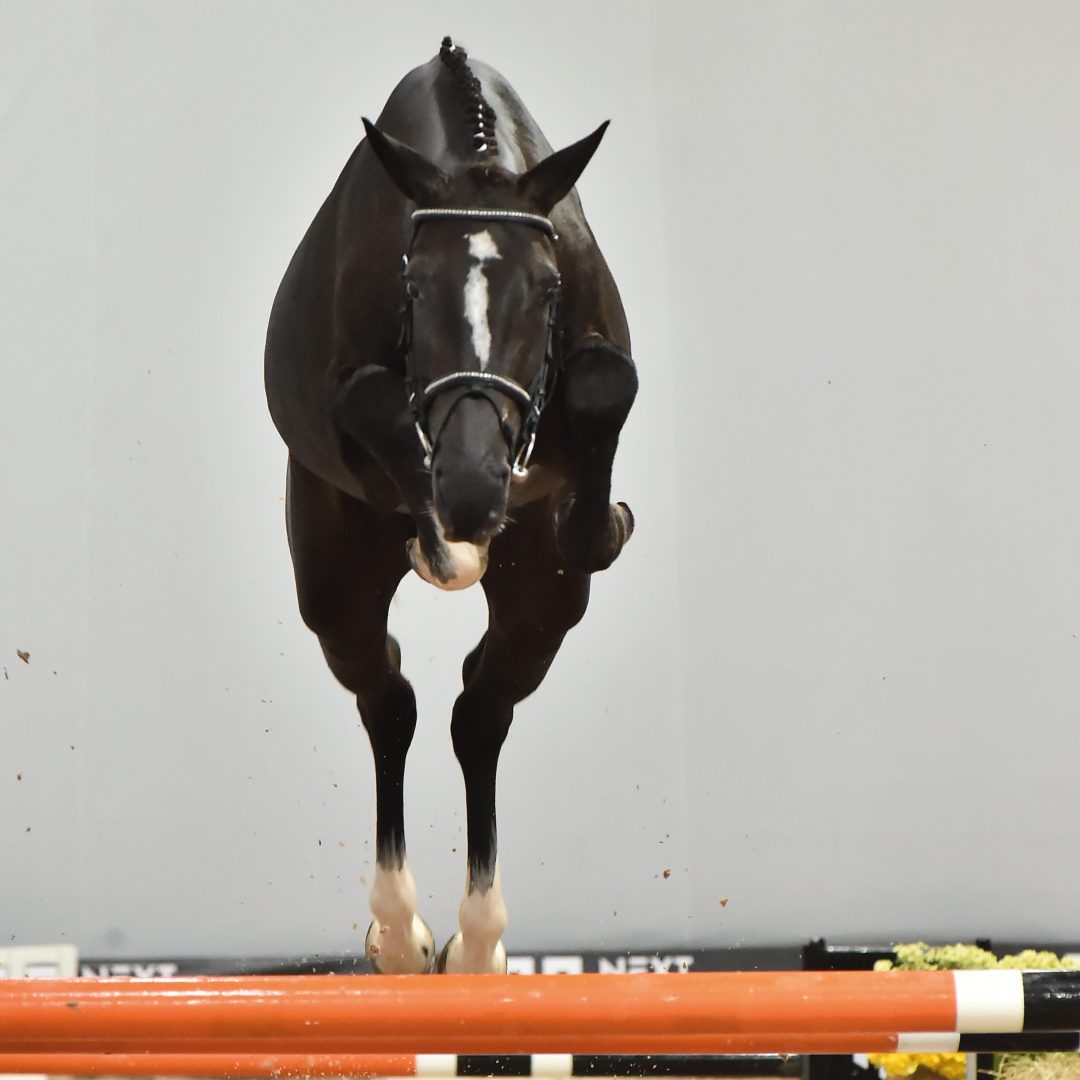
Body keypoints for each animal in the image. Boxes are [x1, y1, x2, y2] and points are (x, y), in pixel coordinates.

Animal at [264, 38, 635, 976]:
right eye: (414, 288)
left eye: (546, 290)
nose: (473, 485)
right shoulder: (352, 400)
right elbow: (372, 405)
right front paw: (446, 540)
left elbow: (608, 383)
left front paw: (596, 525)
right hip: (334, 584)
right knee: (388, 696)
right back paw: (404, 935)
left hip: (540, 606)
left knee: (481, 708)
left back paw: (478, 944)